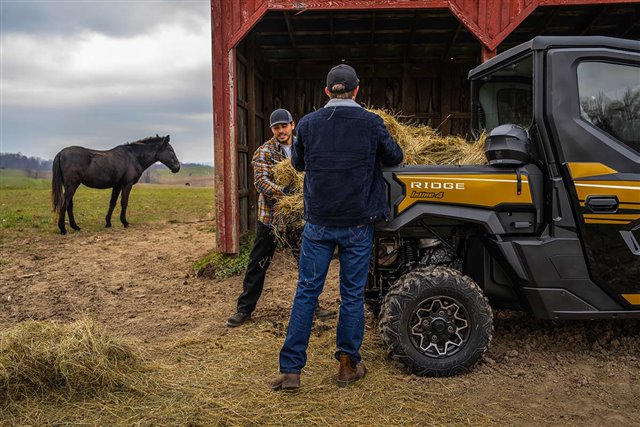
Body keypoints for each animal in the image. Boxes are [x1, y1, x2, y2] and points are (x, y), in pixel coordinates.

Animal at [49, 135, 180, 236]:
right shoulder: (126, 184)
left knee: (69, 205)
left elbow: (112, 203)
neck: (133, 157)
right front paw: (125, 222)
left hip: (70, 186)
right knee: (64, 203)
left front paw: (108, 223)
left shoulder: (117, 185)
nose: (177, 167)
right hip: (72, 185)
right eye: (171, 150)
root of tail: (61, 153)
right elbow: (124, 202)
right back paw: (63, 229)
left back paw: (75, 227)